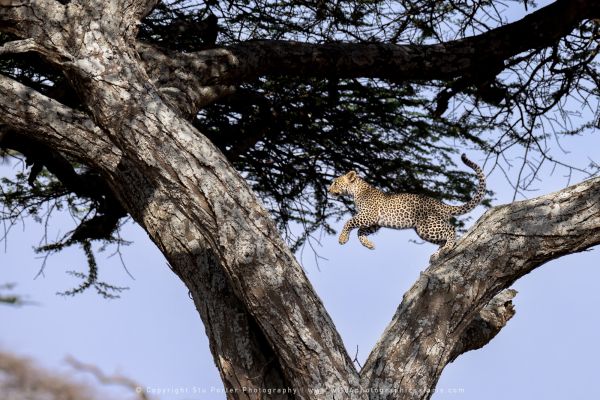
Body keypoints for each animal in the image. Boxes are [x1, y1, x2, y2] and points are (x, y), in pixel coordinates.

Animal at [328, 153, 488, 260]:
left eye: (335, 183)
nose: (328, 190)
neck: (355, 191)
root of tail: (441, 204)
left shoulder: (368, 216)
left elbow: (349, 222)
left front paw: (342, 239)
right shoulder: (374, 222)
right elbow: (360, 231)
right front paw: (368, 244)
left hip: (428, 226)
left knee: (451, 230)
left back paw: (447, 248)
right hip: (424, 230)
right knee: (443, 238)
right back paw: (436, 255)